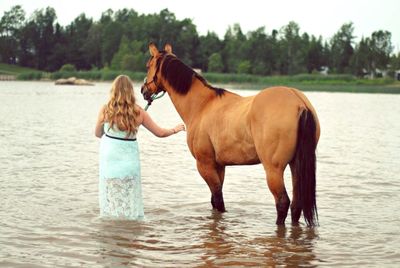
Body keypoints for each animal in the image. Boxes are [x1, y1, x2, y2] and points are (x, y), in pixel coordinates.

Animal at [141, 42, 322, 226]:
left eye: (148, 65)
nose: (143, 90)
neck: (202, 105)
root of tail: (299, 102)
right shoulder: (219, 165)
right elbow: (215, 202)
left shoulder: (205, 164)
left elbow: (218, 199)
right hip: (295, 165)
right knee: (296, 204)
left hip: (274, 169)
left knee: (282, 202)